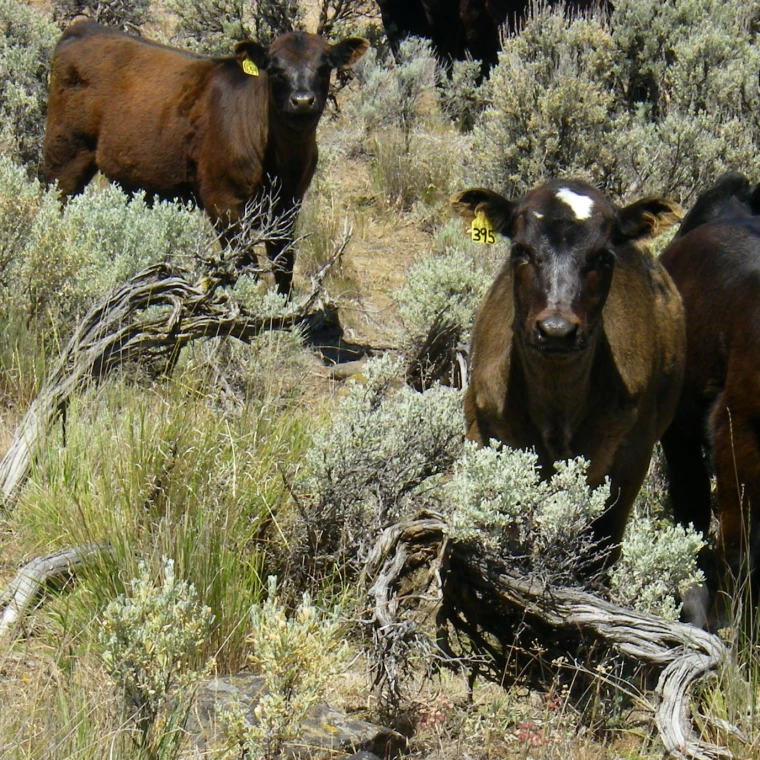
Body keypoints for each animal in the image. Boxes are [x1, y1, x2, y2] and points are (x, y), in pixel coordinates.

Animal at [43, 20, 368, 296]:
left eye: (324, 67)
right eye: (275, 69)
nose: (301, 100)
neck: (281, 163)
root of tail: (84, 27)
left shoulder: (288, 206)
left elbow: (283, 267)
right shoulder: (222, 201)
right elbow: (246, 267)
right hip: (65, 153)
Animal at [451, 178, 685, 565]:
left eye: (604, 255)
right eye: (520, 249)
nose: (556, 330)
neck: (556, 415)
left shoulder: (633, 455)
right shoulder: (480, 430)